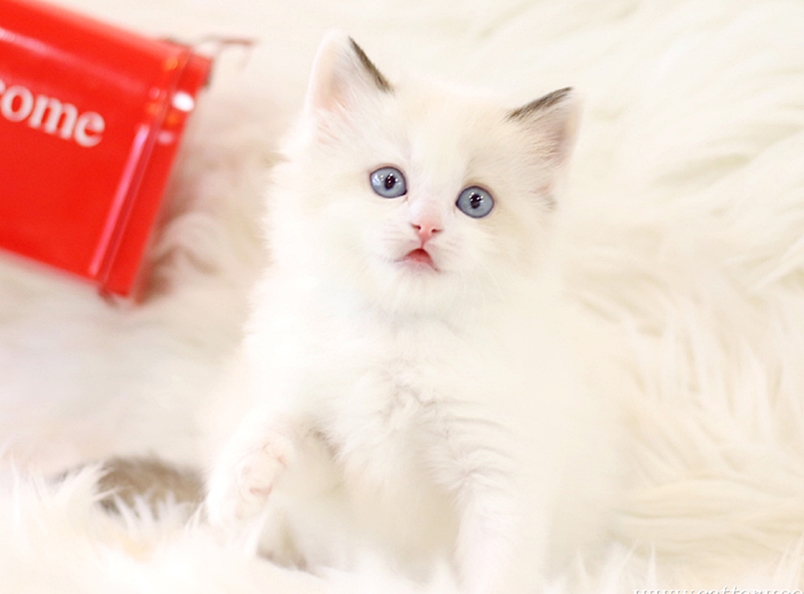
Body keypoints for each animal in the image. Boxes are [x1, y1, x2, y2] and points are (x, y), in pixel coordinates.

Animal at [205, 30, 619, 593]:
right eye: (388, 182)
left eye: (475, 202)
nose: (426, 226)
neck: (398, 334)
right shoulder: (323, 437)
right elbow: (277, 427)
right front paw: (241, 480)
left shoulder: (500, 471)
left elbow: (498, 566)